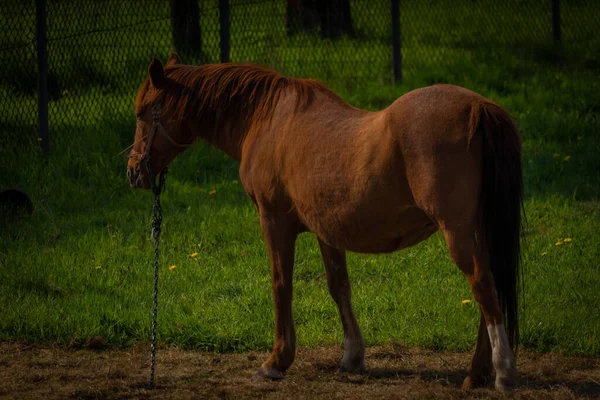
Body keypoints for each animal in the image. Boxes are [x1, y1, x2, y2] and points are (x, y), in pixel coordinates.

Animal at [129, 53, 524, 390]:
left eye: (143, 112)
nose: (134, 172)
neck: (268, 120)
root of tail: (478, 107)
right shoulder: (327, 231)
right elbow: (339, 286)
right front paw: (352, 357)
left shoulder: (274, 221)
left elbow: (281, 285)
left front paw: (277, 360)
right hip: (478, 230)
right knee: (490, 288)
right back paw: (476, 375)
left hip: (456, 232)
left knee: (483, 286)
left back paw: (503, 373)